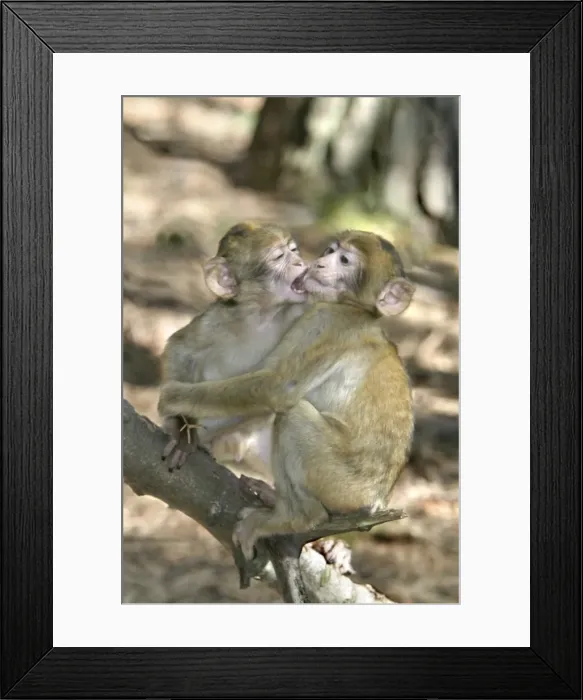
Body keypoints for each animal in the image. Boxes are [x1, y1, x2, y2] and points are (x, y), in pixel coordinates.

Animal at [158, 221, 308, 472]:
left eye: (294, 250)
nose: (301, 263)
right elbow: (180, 350)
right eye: (279, 256)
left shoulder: (300, 314)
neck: (261, 315)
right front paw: (181, 426)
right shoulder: (217, 319)